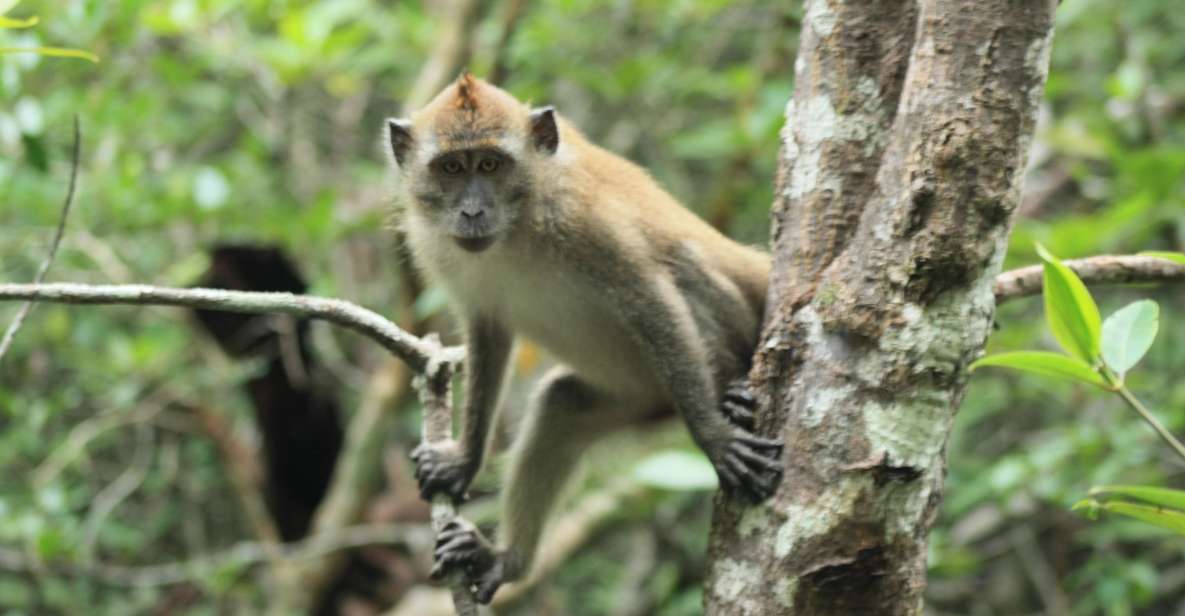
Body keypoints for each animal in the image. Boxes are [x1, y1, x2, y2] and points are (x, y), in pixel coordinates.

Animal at [383, 74, 782, 604]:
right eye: (450, 167)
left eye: (490, 164)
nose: (471, 211)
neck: (518, 226)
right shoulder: (439, 248)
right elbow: (489, 333)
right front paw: (464, 461)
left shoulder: (585, 222)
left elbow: (650, 299)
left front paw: (716, 439)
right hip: (644, 400)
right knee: (561, 404)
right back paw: (506, 560)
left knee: (685, 263)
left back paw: (732, 395)